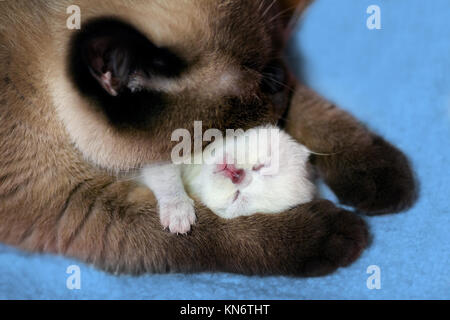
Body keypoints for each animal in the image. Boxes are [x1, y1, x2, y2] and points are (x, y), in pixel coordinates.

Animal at [0, 0, 414, 276]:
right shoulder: (71, 203)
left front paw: (378, 176)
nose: (279, 76)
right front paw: (329, 235)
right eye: (258, 83)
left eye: (272, 68)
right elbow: (206, 235)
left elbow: (308, 113)